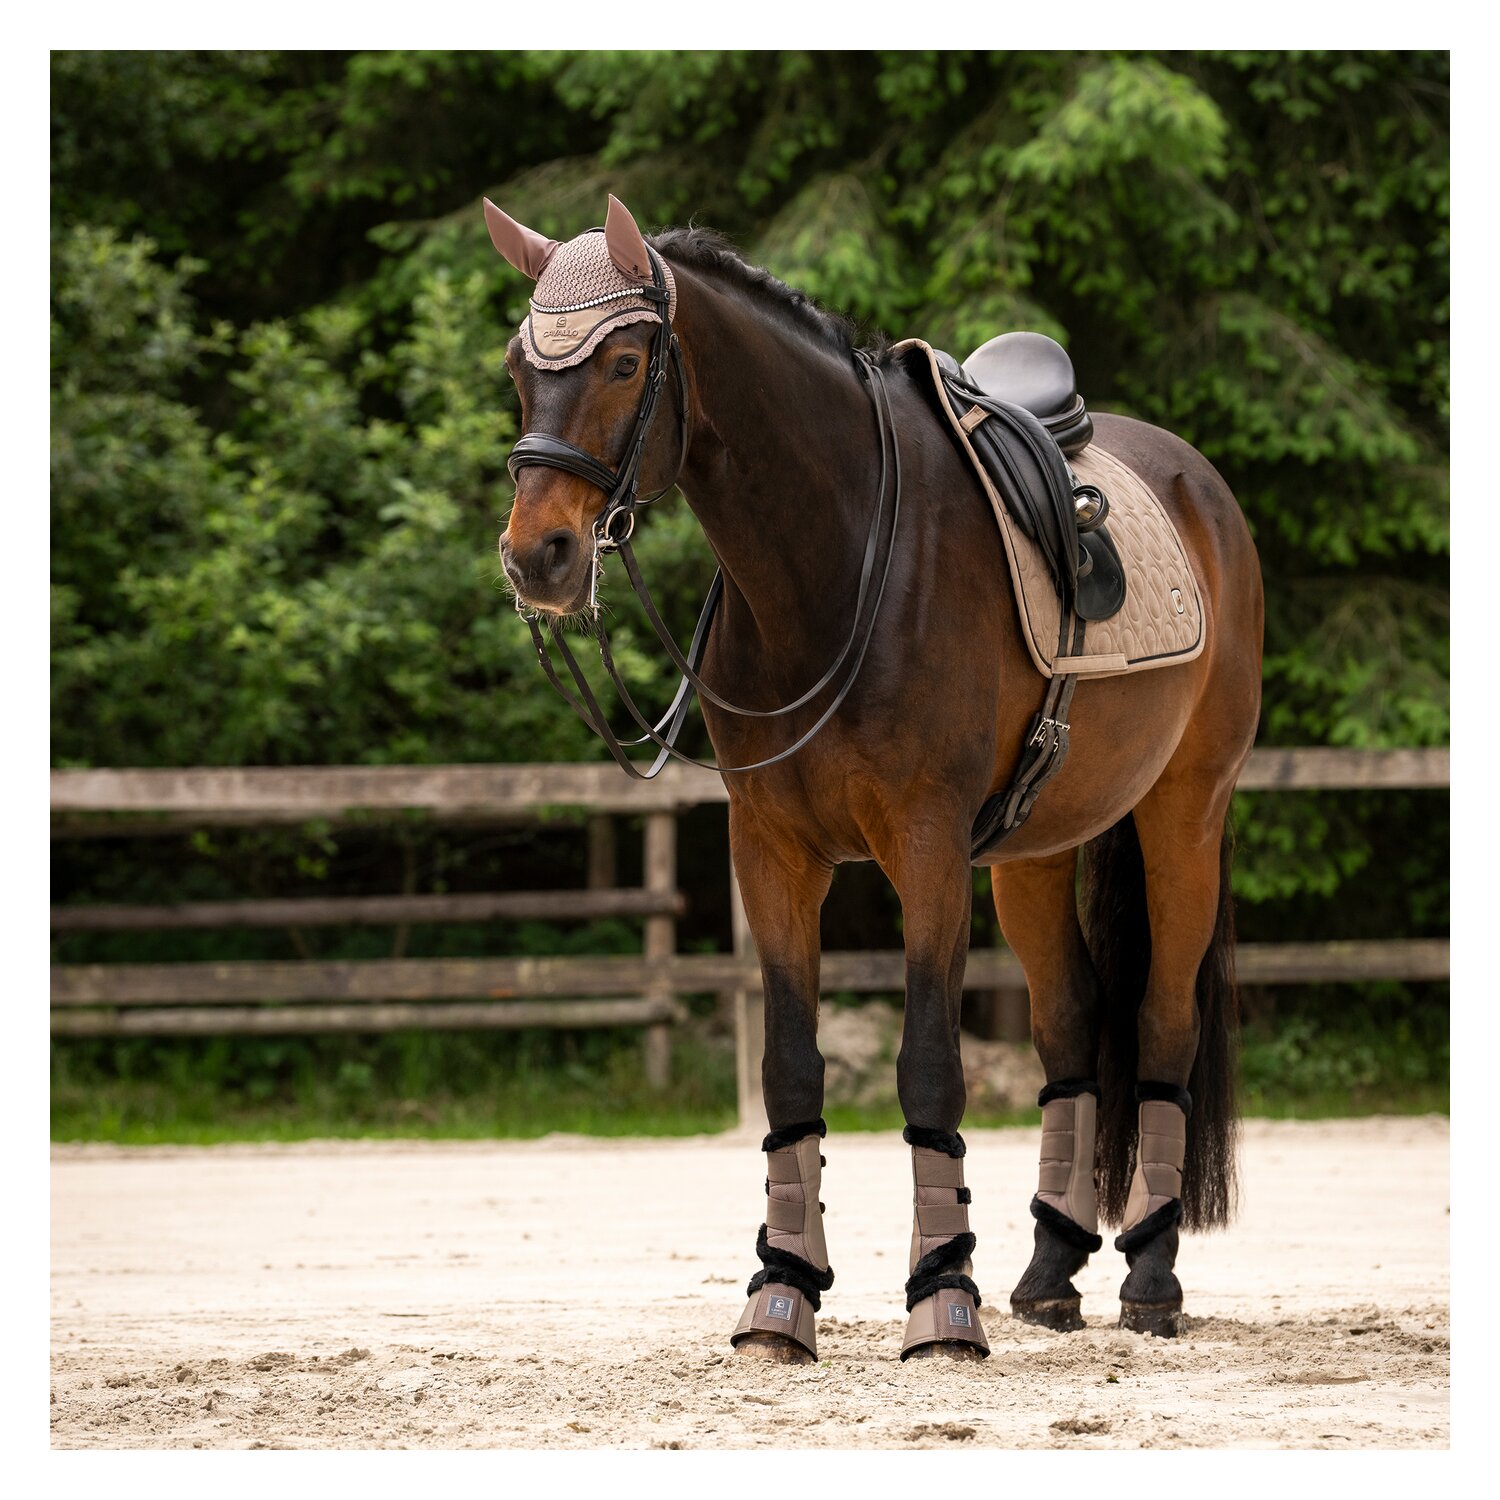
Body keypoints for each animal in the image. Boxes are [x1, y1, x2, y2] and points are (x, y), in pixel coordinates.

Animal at [484, 193, 1263, 1362]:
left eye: (623, 361)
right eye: (518, 368)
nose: (539, 556)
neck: (836, 557)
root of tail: (1192, 478)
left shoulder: (926, 845)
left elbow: (928, 1063)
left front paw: (943, 1299)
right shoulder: (772, 850)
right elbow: (791, 1067)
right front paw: (782, 1292)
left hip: (1185, 813)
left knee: (1164, 1020)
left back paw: (1151, 1277)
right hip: (1035, 853)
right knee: (1072, 1024)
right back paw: (1050, 1270)